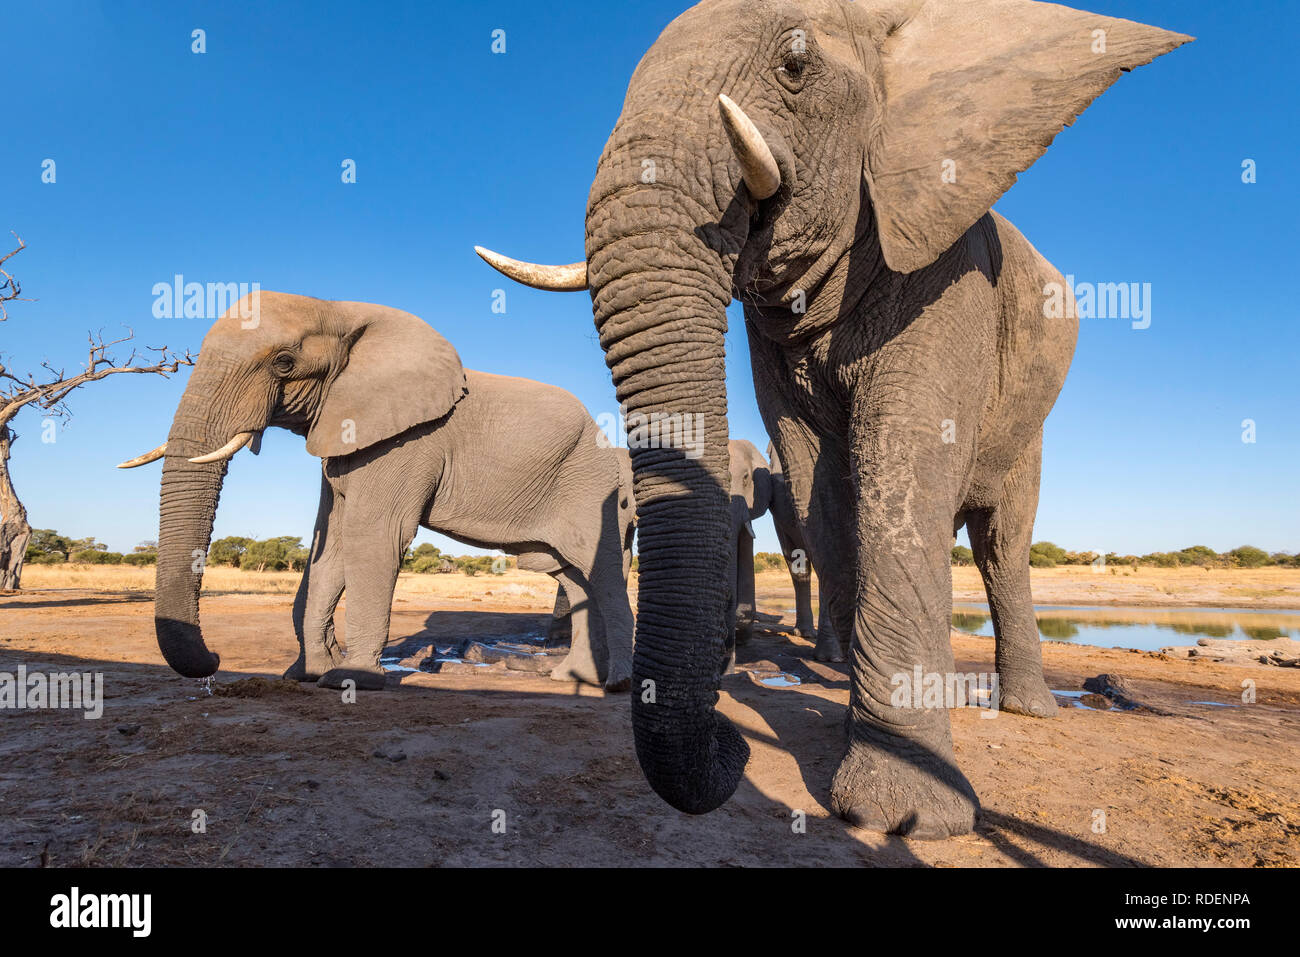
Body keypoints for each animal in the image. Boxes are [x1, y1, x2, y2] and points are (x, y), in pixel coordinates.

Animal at [119, 291, 637, 696]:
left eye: (283, 363)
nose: (215, 662)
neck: (339, 311)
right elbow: (329, 547)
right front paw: (305, 675)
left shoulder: (406, 442)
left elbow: (373, 536)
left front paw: (350, 681)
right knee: (572, 575)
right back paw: (571, 679)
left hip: (590, 484)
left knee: (601, 570)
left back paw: (617, 685)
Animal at [478, 0, 1190, 837]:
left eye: (795, 65)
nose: (733, 748)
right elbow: (818, 479)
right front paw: (850, 714)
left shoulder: (949, 270)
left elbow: (901, 467)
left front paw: (904, 817)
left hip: (1029, 421)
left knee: (1001, 542)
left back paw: (1028, 710)